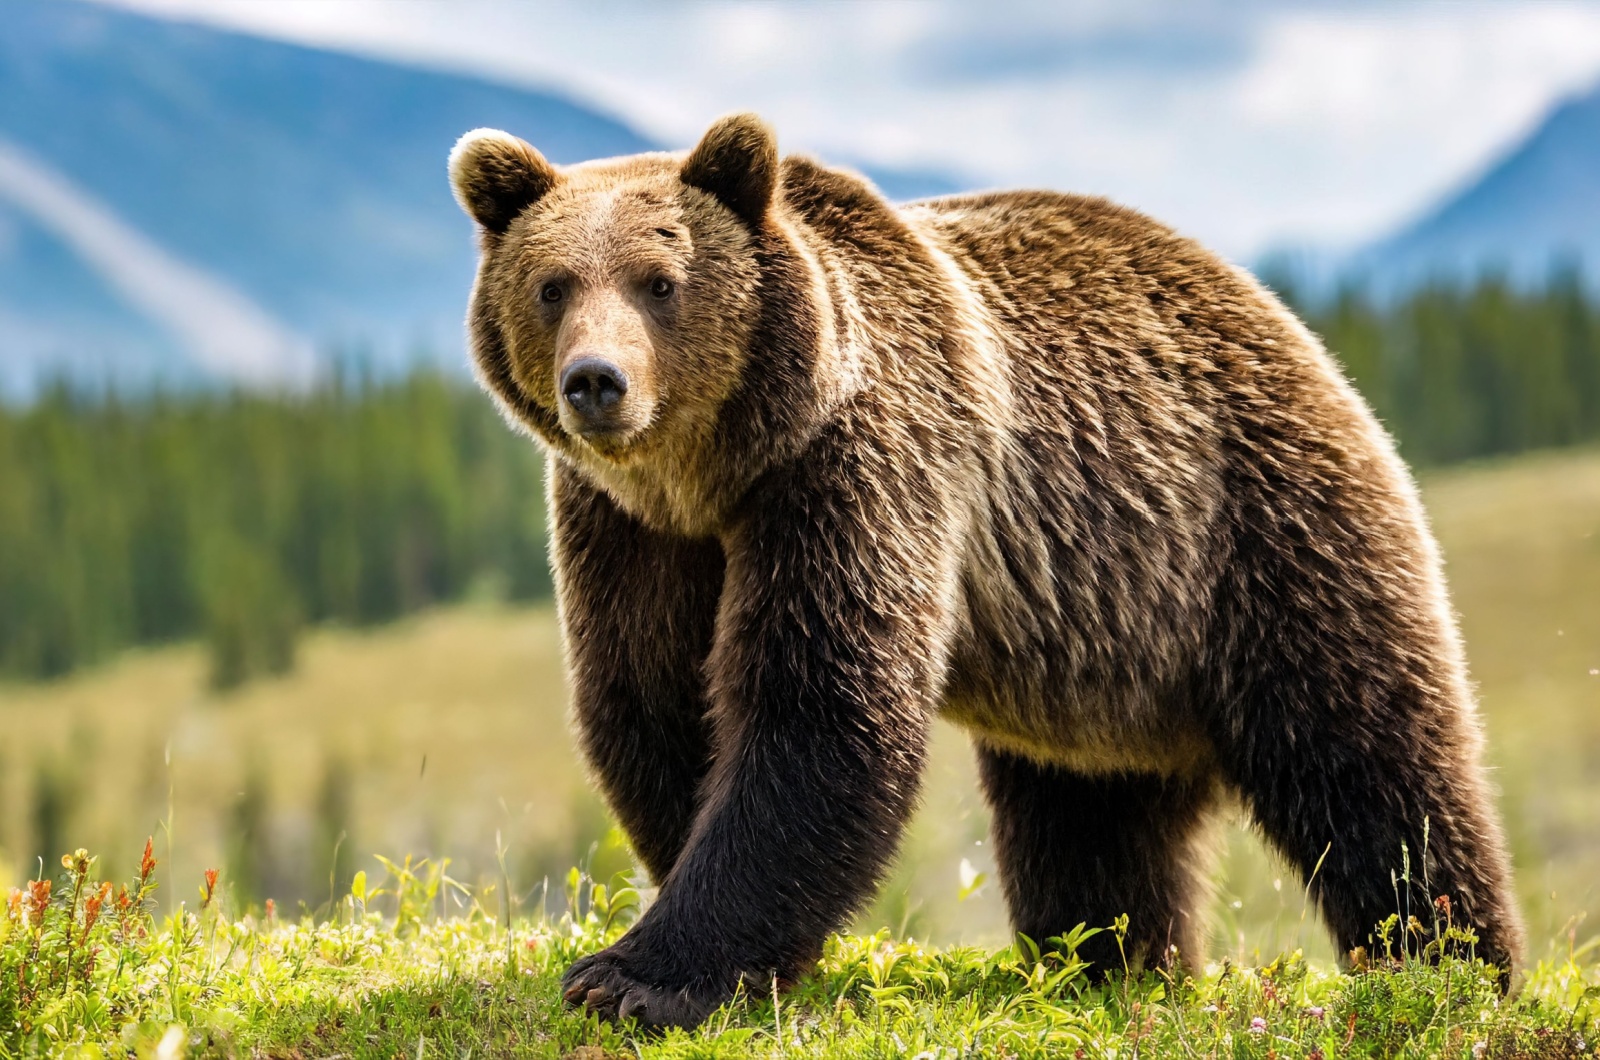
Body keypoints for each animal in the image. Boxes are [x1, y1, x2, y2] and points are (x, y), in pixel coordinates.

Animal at [448, 114, 1523, 1031]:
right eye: (553, 285)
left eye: (660, 280)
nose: (597, 382)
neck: (717, 471)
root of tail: (1288, 323)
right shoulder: (627, 526)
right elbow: (651, 698)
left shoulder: (861, 462)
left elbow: (820, 705)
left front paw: (634, 978)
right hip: (1103, 650)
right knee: (1092, 826)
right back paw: (1117, 966)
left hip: (1261, 534)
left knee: (1374, 766)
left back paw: (1452, 970)